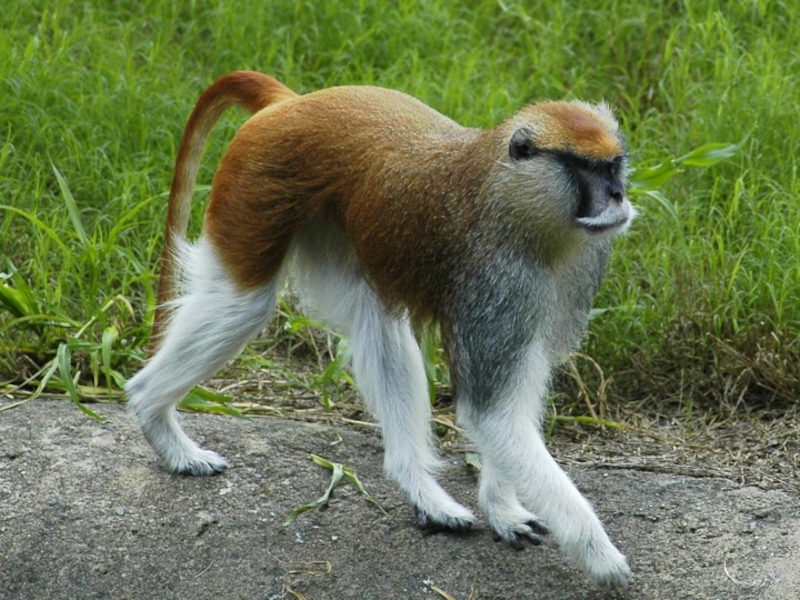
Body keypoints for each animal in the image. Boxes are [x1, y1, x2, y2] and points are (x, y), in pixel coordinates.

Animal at [125, 71, 635, 588]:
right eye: (588, 170)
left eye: (614, 167)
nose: (617, 197)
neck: (511, 197)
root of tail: (290, 103)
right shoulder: (496, 281)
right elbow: (492, 413)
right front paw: (602, 556)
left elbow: (515, 394)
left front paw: (502, 508)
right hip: (256, 188)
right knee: (242, 307)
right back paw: (157, 418)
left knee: (378, 322)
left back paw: (422, 491)